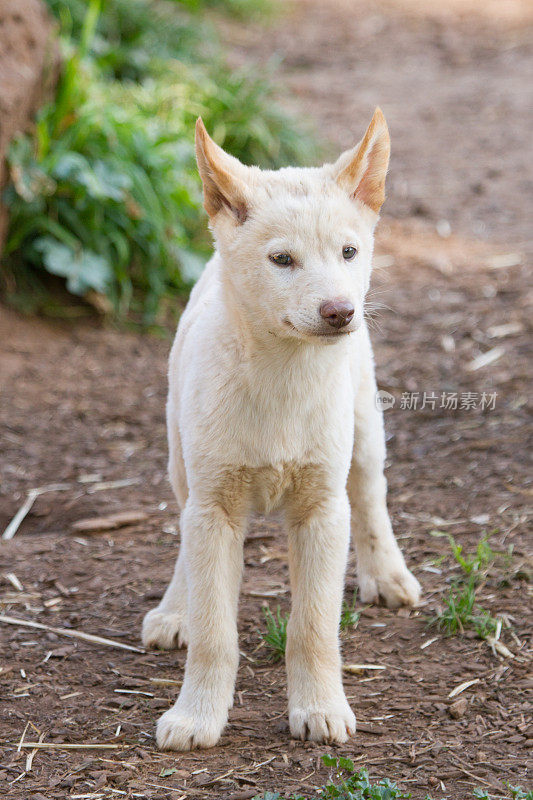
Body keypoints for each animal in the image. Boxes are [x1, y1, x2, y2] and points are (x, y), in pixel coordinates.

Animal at [141, 109, 420, 752]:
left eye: (349, 251)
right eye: (282, 261)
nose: (340, 312)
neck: (282, 379)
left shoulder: (321, 508)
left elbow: (312, 625)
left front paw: (320, 710)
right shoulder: (214, 506)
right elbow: (215, 630)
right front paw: (196, 716)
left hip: (364, 430)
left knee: (370, 494)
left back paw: (387, 573)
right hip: (180, 462)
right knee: (186, 540)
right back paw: (175, 609)